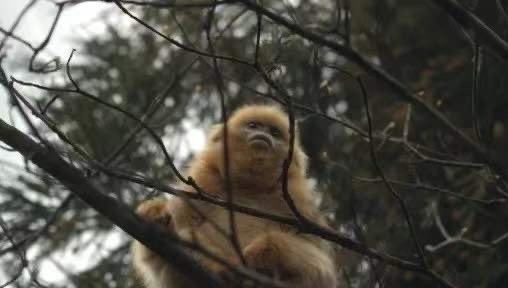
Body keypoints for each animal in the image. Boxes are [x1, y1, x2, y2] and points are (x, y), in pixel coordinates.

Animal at [131, 104, 338, 286]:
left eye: (275, 133)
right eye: (253, 125)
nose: (264, 135)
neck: (249, 186)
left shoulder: (297, 199)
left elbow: (321, 267)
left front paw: (264, 251)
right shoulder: (202, 181)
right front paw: (157, 215)